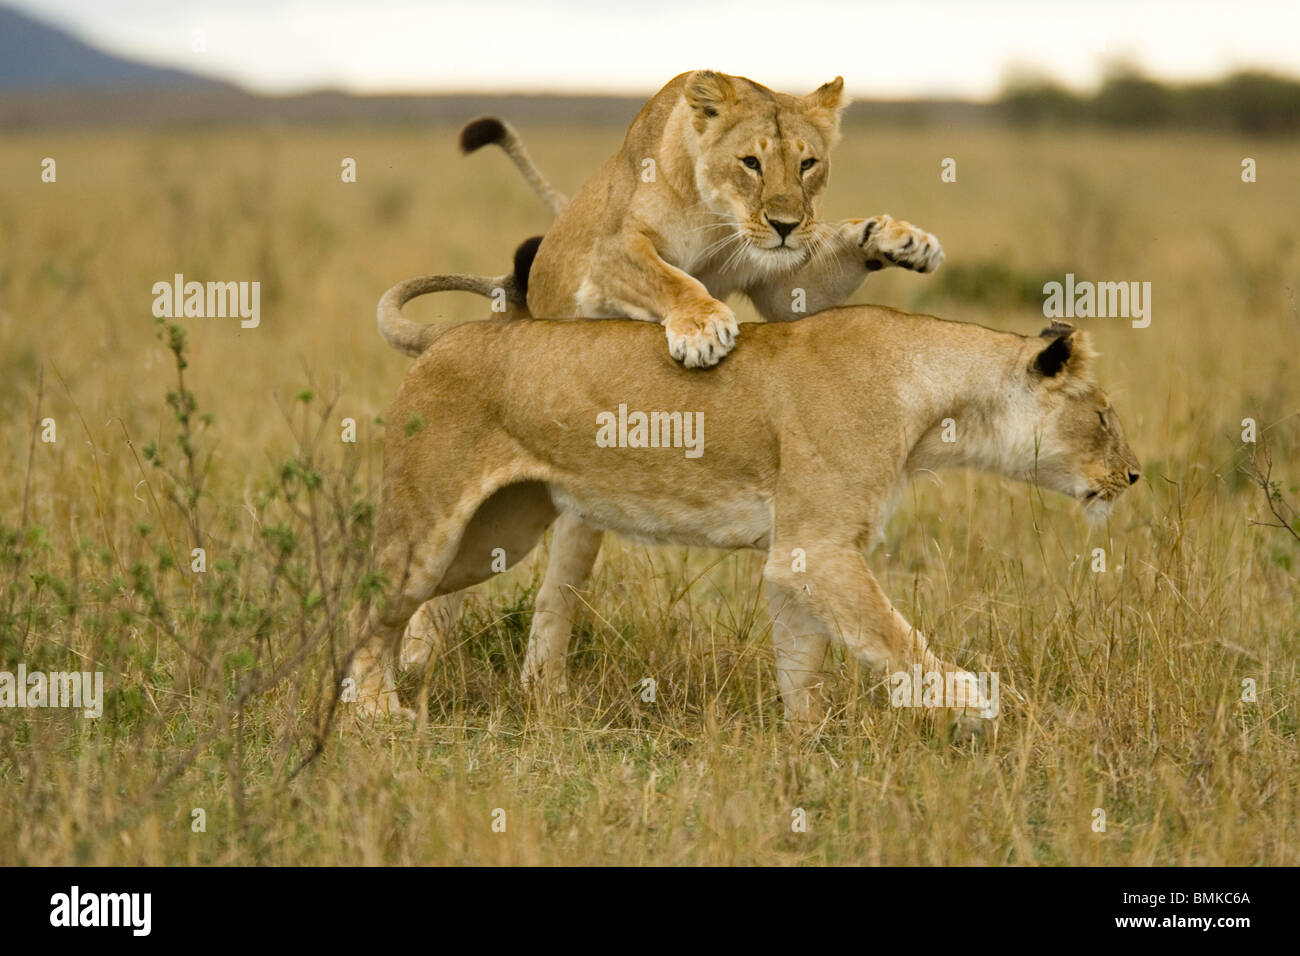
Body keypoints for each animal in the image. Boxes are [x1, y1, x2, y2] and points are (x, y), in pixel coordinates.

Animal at [351, 286, 1144, 733]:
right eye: (1104, 415)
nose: (1135, 475)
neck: (936, 404)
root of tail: (446, 334)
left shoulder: (801, 551)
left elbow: (803, 660)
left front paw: (810, 742)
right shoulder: (820, 546)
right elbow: (899, 640)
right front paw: (987, 708)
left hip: (497, 536)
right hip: (429, 523)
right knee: (372, 604)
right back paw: (375, 713)